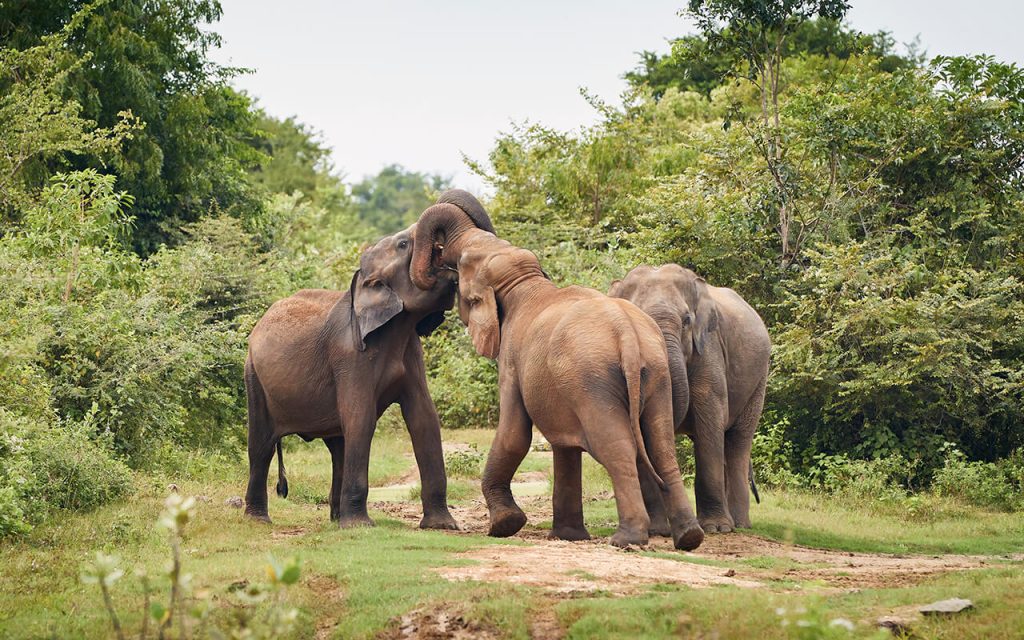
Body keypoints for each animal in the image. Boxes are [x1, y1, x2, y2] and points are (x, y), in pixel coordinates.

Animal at [243, 190, 491, 528]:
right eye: (403, 244)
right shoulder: (349, 356)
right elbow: (360, 418)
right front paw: (361, 527)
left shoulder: (412, 353)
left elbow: (424, 419)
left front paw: (442, 526)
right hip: (253, 375)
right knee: (262, 444)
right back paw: (259, 520)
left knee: (338, 445)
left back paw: (336, 520)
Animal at [407, 195, 704, 548]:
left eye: (463, 262)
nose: (438, 261)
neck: (525, 281)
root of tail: (628, 336)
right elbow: (564, 446)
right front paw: (568, 537)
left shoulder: (512, 360)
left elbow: (515, 434)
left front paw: (505, 525)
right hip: (656, 375)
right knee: (661, 445)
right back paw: (689, 537)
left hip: (594, 383)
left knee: (616, 447)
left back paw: (626, 539)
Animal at [606, 262, 770, 532]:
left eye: (687, 320)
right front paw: (656, 530)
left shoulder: (708, 350)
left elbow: (710, 421)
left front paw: (716, 528)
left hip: (759, 380)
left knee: (737, 441)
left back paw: (738, 524)